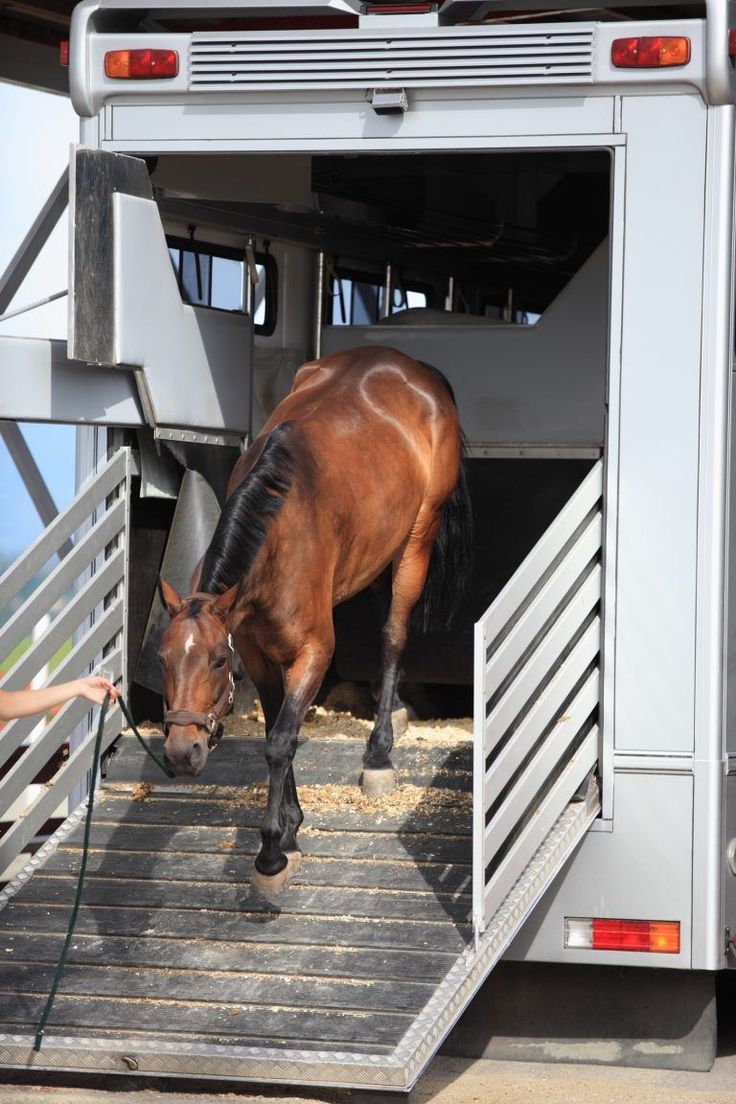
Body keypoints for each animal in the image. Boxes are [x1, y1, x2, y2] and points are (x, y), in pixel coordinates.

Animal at [158, 344, 474, 896]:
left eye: (217, 661)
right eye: (162, 658)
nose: (182, 750)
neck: (279, 526)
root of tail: (417, 370)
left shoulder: (312, 653)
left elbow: (282, 740)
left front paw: (271, 853)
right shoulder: (259, 657)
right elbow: (274, 734)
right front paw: (290, 825)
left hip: (415, 542)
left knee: (393, 635)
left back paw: (379, 753)